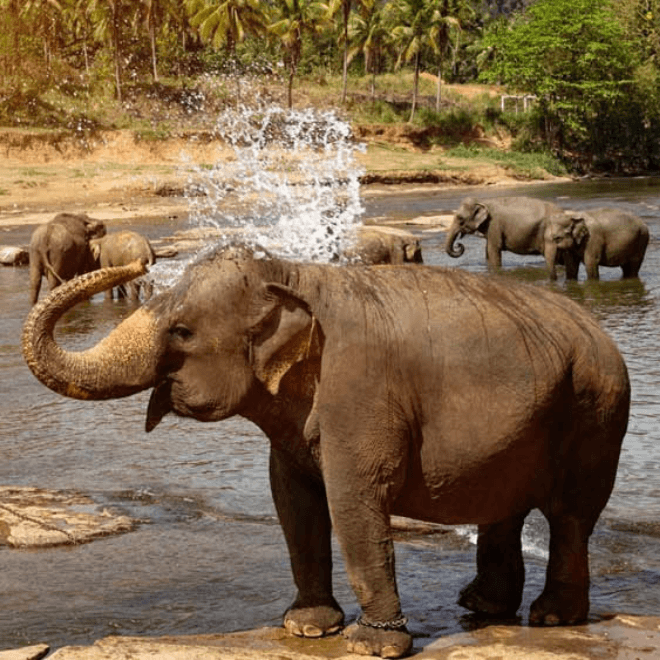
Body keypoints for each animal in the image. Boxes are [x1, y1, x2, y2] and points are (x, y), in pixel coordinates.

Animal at [22, 247, 630, 658]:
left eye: (182, 331)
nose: (137, 264)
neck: (291, 273)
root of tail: (599, 331)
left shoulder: (361, 393)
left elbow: (353, 500)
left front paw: (370, 646)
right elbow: (293, 501)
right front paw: (308, 628)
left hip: (596, 412)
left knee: (570, 515)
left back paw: (551, 618)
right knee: (505, 508)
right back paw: (481, 607)